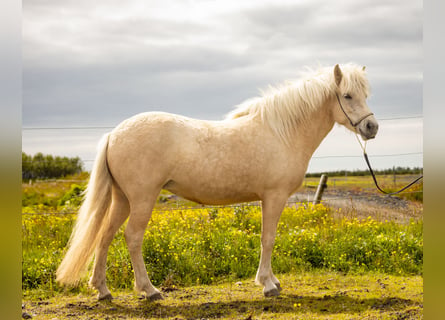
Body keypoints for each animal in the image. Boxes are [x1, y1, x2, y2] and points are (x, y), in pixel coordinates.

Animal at [56, 63, 378, 300]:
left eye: (365, 94)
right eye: (347, 96)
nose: (371, 127)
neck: (282, 133)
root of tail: (115, 133)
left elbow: (267, 238)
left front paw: (272, 281)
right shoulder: (273, 197)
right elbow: (268, 238)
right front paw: (268, 285)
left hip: (122, 199)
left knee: (105, 236)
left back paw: (103, 290)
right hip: (142, 199)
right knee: (133, 238)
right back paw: (149, 290)